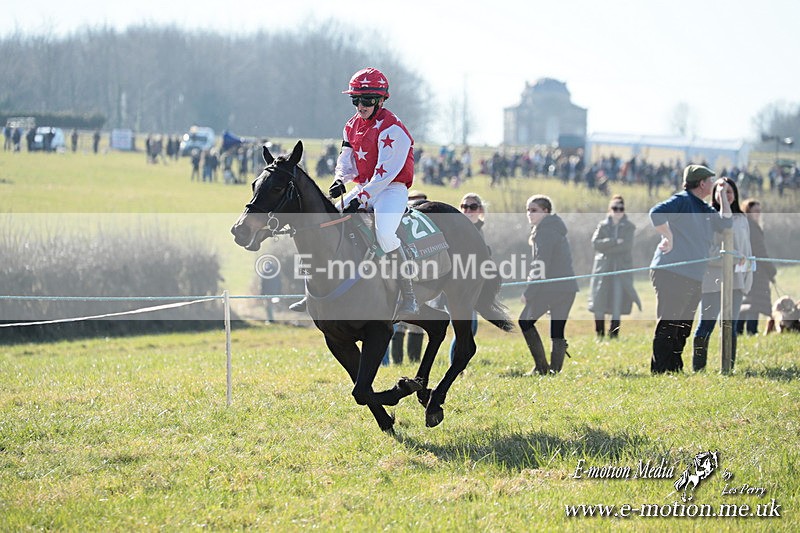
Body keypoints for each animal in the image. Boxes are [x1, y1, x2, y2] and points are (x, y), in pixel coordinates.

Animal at [231, 141, 513, 432]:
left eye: (277, 187)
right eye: (254, 184)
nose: (240, 230)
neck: (334, 262)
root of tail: (470, 225)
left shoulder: (379, 331)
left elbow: (361, 389)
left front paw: (403, 388)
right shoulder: (337, 339)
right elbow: (361, 388)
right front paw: (389, 415)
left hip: (461, 296)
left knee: (465, 348)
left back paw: (434, 401)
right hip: (413, 309)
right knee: (437, 325)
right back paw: (424, 390)